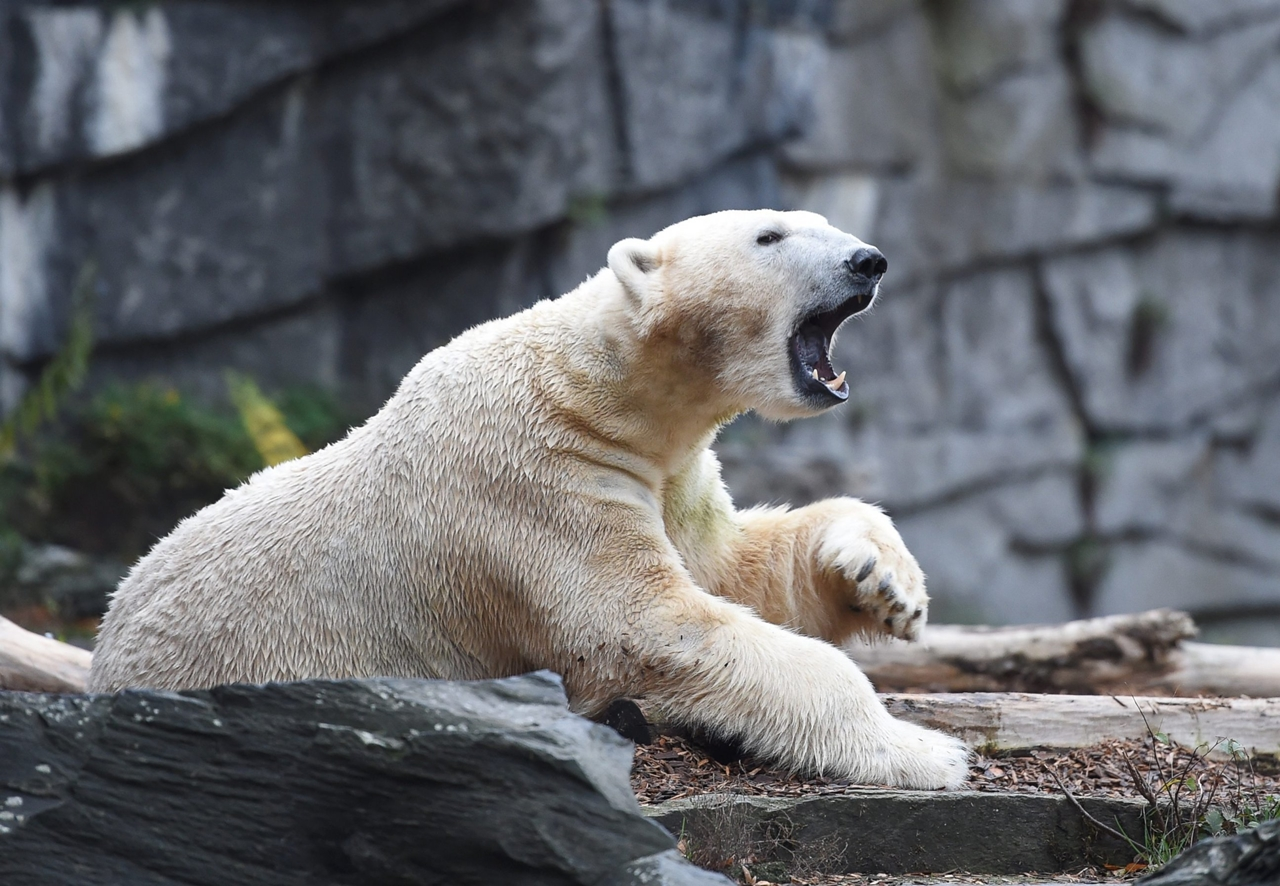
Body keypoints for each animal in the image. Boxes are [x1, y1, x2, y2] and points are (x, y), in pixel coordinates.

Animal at [90, 209, 962, 788]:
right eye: (769, 237)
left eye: (820, 221)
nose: (868, 261)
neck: (596, 391)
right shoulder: (535, 480)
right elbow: (646, 625)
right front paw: (926, 752)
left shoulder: (668, 472)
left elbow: (730, 565)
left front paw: (884, 580)